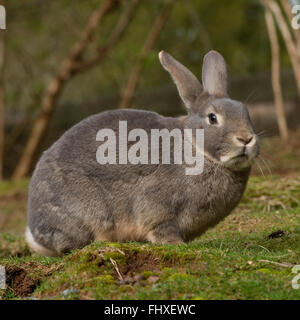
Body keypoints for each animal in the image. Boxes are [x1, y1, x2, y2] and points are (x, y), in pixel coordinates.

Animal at [26, 50, 260, 256]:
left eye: (245, 111)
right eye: (212, 118)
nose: (246, 139)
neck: (196, 148)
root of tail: (34, 229)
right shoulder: (157, 208)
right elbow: (161, 227)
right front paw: (176, 245)